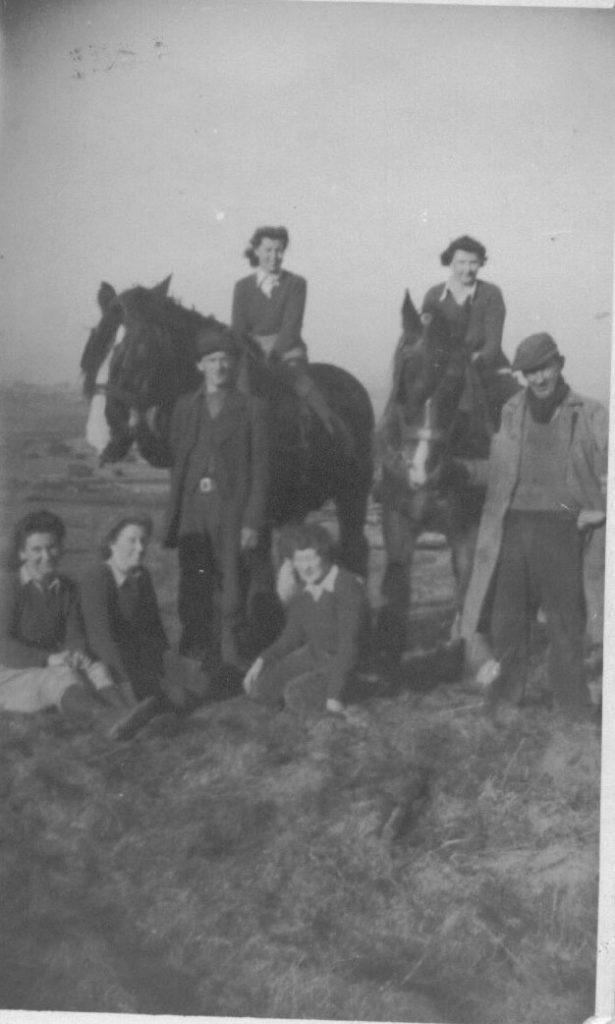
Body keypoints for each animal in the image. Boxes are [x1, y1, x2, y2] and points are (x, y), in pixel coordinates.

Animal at [376, 292, 515, 667]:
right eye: (406, 373)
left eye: (455, 383)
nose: (421, 470)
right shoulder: (397, 519)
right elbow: (397, 586)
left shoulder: (469, 528)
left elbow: (468, 585)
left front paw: (473, 655)